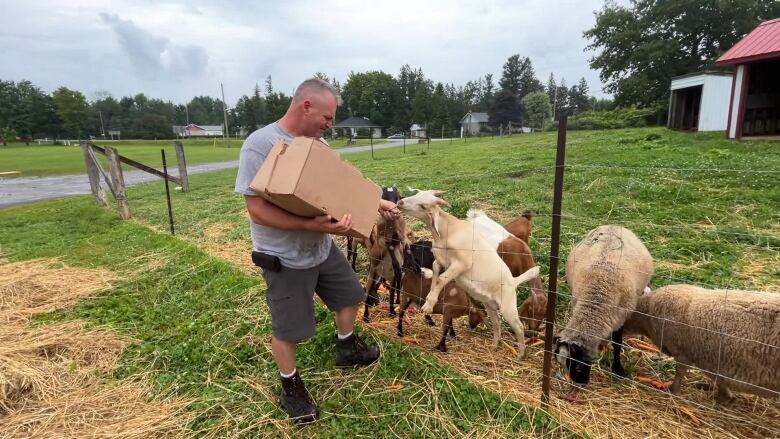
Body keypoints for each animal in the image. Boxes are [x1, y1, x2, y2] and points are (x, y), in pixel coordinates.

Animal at [620, 284, 780, 404]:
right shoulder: (710, 357)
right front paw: (725, 397)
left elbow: (680, 372)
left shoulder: (685, 352)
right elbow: (718, 378)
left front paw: (673, 390)